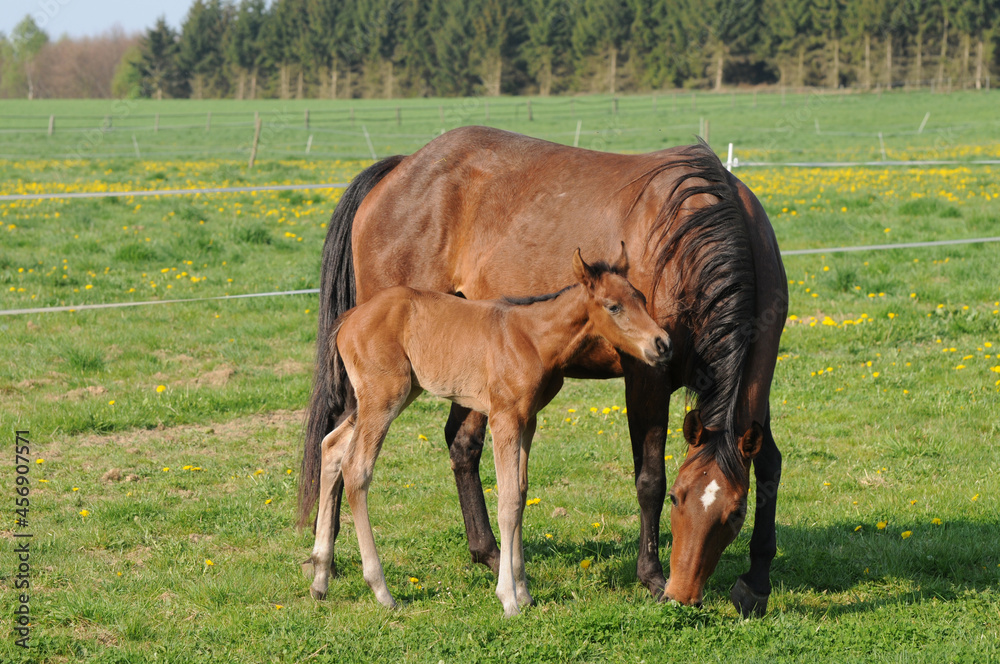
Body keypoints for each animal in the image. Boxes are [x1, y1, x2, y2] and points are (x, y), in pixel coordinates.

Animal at [305, 245, 672, 616]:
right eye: (614, 306)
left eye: (641, 298)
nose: (662, 344)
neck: (532, 338)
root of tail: (348, 319)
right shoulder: (503, 418)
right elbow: (507, 502)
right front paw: (508, 597)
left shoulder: (527, 421)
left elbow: (521, 495)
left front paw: (524, 591)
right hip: (384, 397)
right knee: (356, 468)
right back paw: (381, 589)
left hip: (394, 395)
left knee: (331, 447)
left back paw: (320, 578)